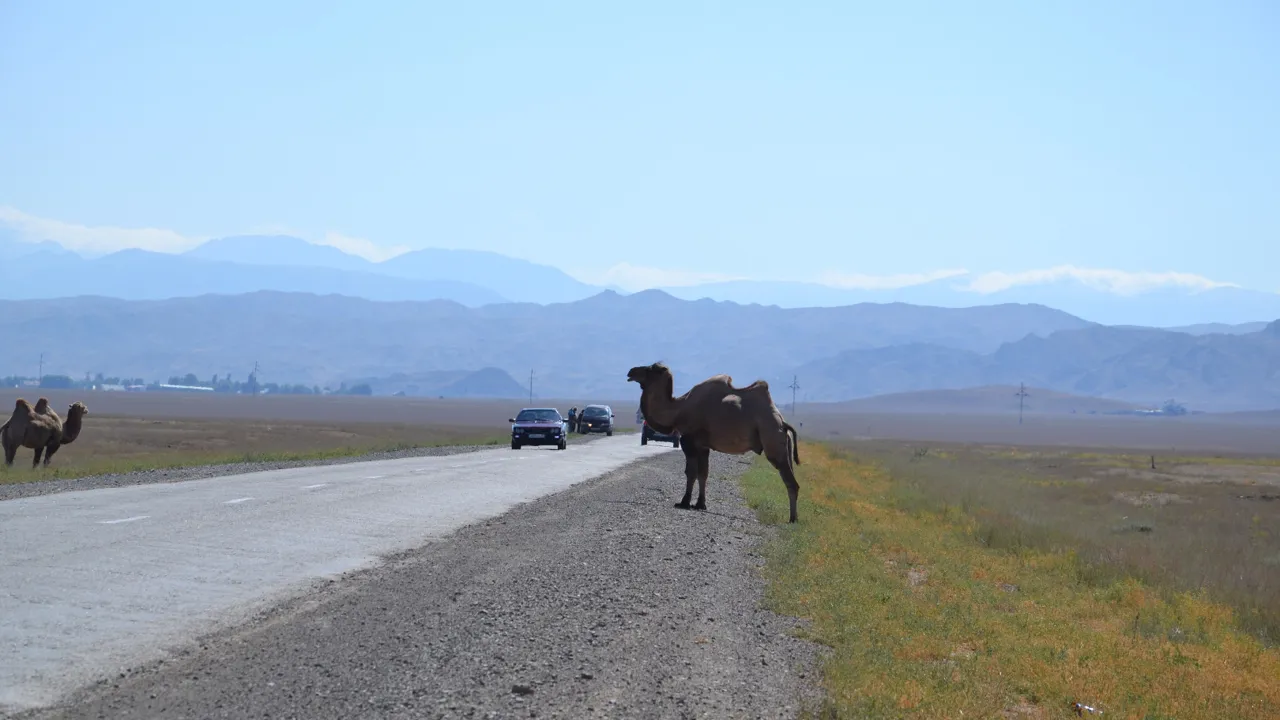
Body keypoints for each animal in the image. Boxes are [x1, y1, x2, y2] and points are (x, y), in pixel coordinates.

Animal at [626, 362, 802, 523]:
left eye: (651, 368)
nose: (631, 371)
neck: (678, 409)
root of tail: (782, 423)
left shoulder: (689, 440)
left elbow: (691, 473)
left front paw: (684, 502)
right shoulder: (703, 446)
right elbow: (703, 473)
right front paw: (700, 504)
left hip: (773, 440)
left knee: (791, 482)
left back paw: (793, 520)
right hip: (784, 444)